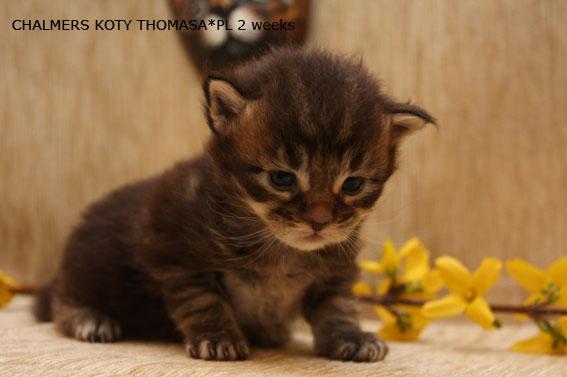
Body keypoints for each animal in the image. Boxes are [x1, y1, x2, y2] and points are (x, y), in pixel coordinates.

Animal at [34, 47, 434, 362]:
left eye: (352, 184)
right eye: (282, 179)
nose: (318, 221)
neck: (281, 249)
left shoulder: (337, 266)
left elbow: (338, 305)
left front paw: (350, 336)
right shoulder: (170, 247)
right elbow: (201, 299)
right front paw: (218, 337)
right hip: (86, 266)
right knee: (59, 301)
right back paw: (89, 318)